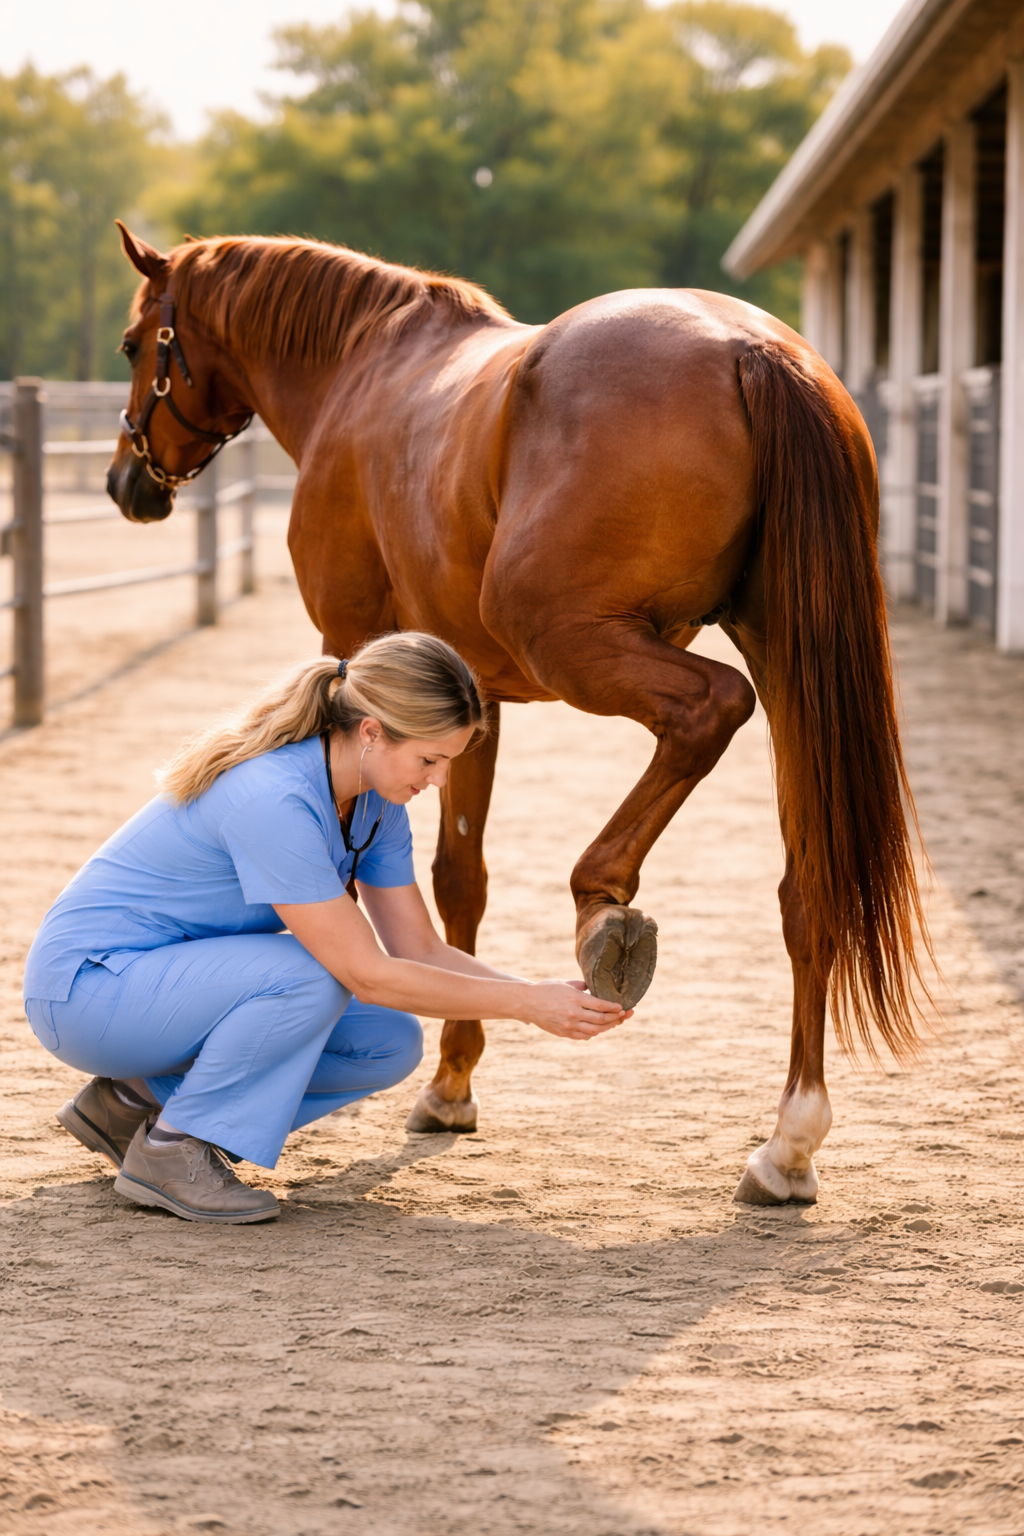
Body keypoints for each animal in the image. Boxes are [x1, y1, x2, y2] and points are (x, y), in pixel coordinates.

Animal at [106, 222, 931, 1206]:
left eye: (134, 345)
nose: (127, 483)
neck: (364, 365)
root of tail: (750, 347)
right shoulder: (475, 694)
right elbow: (462, 875)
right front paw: (454, 1079)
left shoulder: (365, 649)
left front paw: (435, 1080)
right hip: (785, 658)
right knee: (808, 893)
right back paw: (788, 1143)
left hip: (574, 642)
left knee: (710, 708)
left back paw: (602, 905)